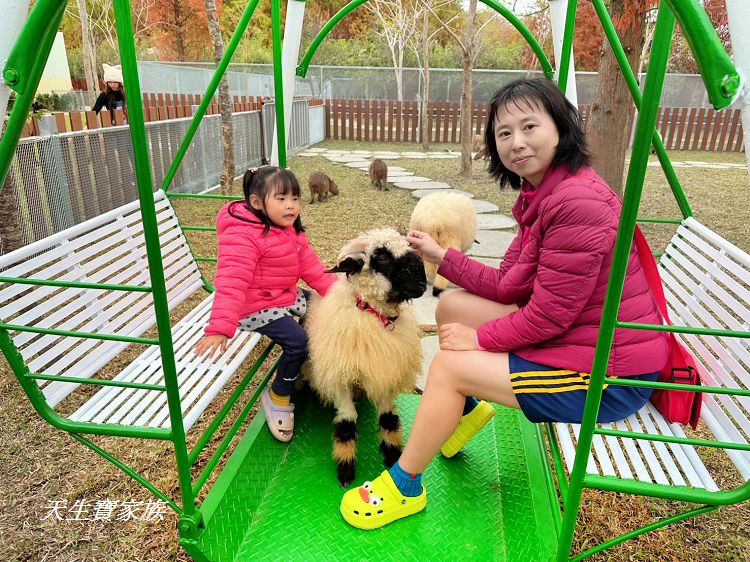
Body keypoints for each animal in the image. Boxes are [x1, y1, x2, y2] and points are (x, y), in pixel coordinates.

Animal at [302, 228, 426, 486]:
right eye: (383, 258)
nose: (422, 281)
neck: (373, 314)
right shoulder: (340, 380)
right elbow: (347, 422)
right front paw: (345, 471)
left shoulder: (385, 375)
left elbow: (388, 418)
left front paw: (393, 456)